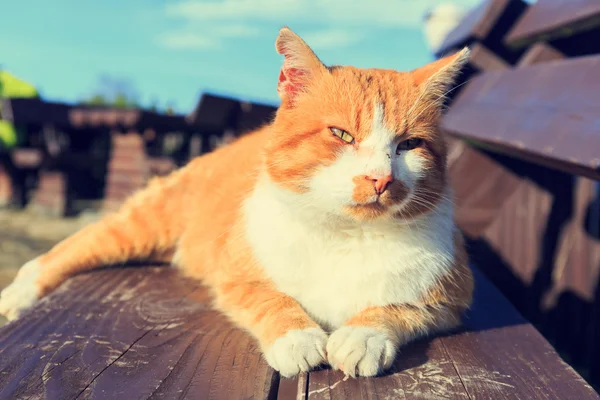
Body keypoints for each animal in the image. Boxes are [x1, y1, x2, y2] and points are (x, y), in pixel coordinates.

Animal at [0, 28, 474, 378]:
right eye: (341, 135)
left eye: (409, 145)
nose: (380, 178)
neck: (346, 234)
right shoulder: (232, 277)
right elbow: (268, 298)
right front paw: (297, 337)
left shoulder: (450, 301)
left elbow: (399, 308)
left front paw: (363, 336)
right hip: (144, 224)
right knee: (76, 244)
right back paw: (21, 291)